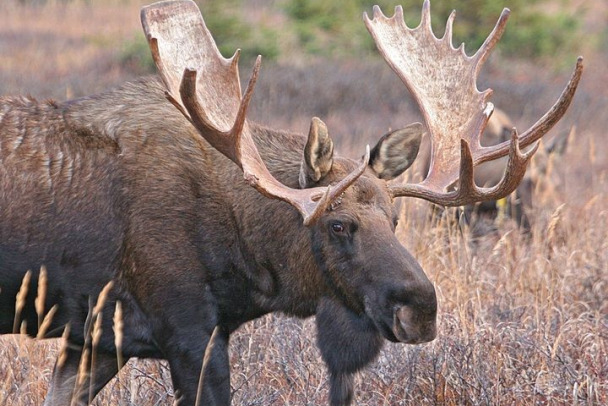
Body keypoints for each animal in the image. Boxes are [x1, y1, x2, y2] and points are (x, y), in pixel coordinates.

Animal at [0, 0, 580, 406]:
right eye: (338, 225)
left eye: (396, 219)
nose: (421, 308)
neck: (247, 258)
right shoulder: (188, 332)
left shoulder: (95, 340)